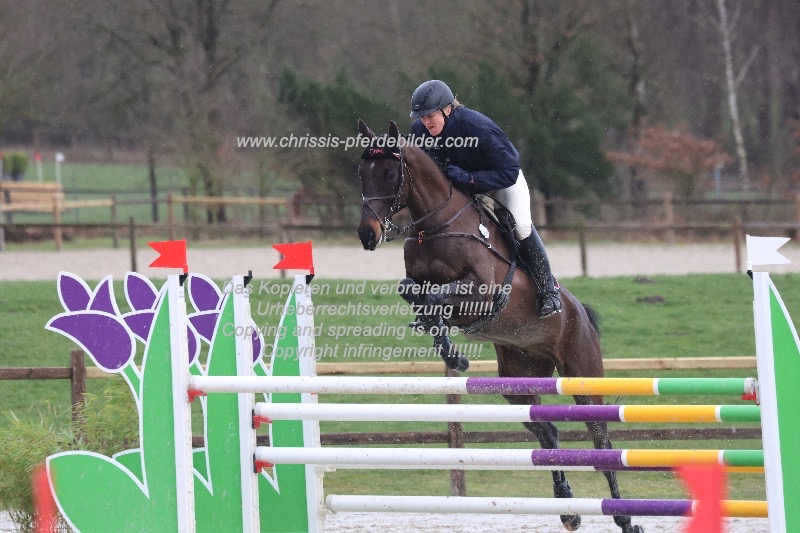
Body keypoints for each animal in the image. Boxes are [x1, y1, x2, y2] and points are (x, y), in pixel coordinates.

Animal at [356, 120, 644, 532]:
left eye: (391, 173)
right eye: (361, 172)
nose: (368, 235)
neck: (436, 226)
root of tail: (581, 315)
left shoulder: (483, 290)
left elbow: (436, 297)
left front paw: (451, 350)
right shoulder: (427, 285)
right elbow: (414, 291)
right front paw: (448, 349)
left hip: (582, 376)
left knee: (601, 441)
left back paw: (624, 517)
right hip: (517, 380)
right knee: (547, 431)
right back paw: (568, 506)